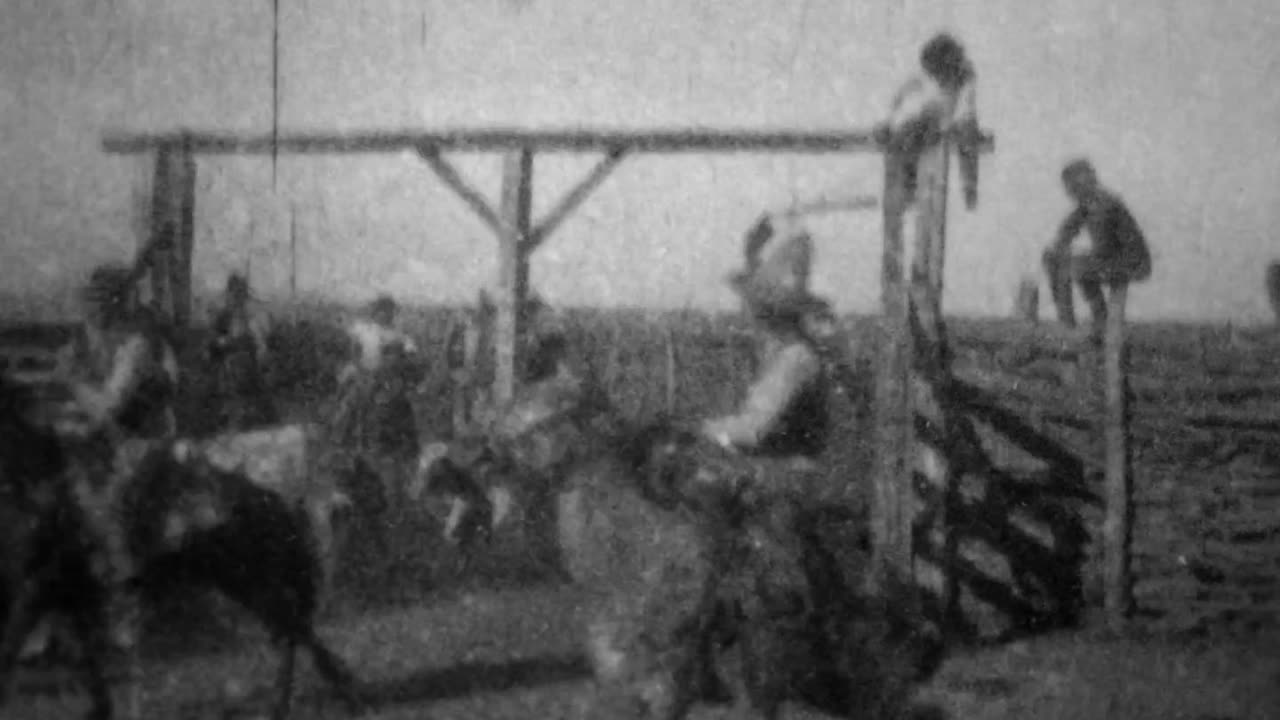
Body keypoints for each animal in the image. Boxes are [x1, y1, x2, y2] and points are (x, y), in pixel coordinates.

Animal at [0, 376, 363, 717]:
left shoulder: (95, 589)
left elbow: (111, 664)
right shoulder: (60, 589)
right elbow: (73, 657)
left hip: (262, 576)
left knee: (297, 630)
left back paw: (337, 695)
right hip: (242, 581)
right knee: (294, 630)